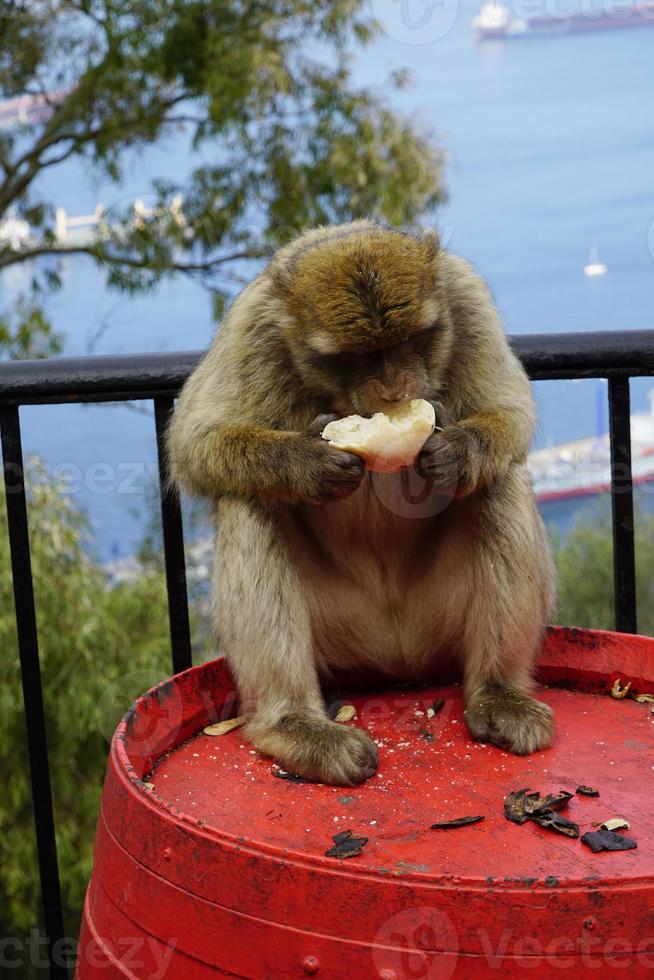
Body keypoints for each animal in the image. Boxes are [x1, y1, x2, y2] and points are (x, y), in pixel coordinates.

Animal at [169, 218, 560, 784]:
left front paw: (458, 452)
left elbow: (509, 411)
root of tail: (396, 662)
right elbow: (195, 443)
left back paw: (499, 692)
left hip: (437, 623)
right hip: (342, 634)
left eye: (410, 340)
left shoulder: (465, 299)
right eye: (354, 358)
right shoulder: (252, 330)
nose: (395, 390)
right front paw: (306, 462)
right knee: (248, 502)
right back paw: (293, 725)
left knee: (499, 481)